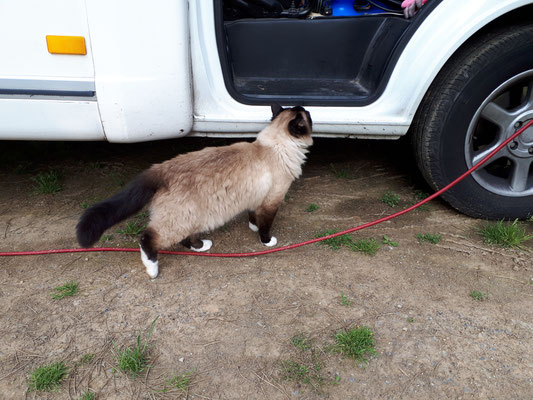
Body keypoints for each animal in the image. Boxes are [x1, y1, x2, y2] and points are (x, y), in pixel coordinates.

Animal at [77, 104, 314, 276]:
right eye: (309, 116)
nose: (311, 110)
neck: (275, 146)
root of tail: (160, 169)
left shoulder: (257, 198)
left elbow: (253, 217)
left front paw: (252, 227)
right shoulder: (272, 200)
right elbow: (265, 225)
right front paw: (267, 241)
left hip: (191, 216)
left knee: (184, 238)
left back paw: (201, 246)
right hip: (182, 219)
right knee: (148, 238)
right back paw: (152, 269)